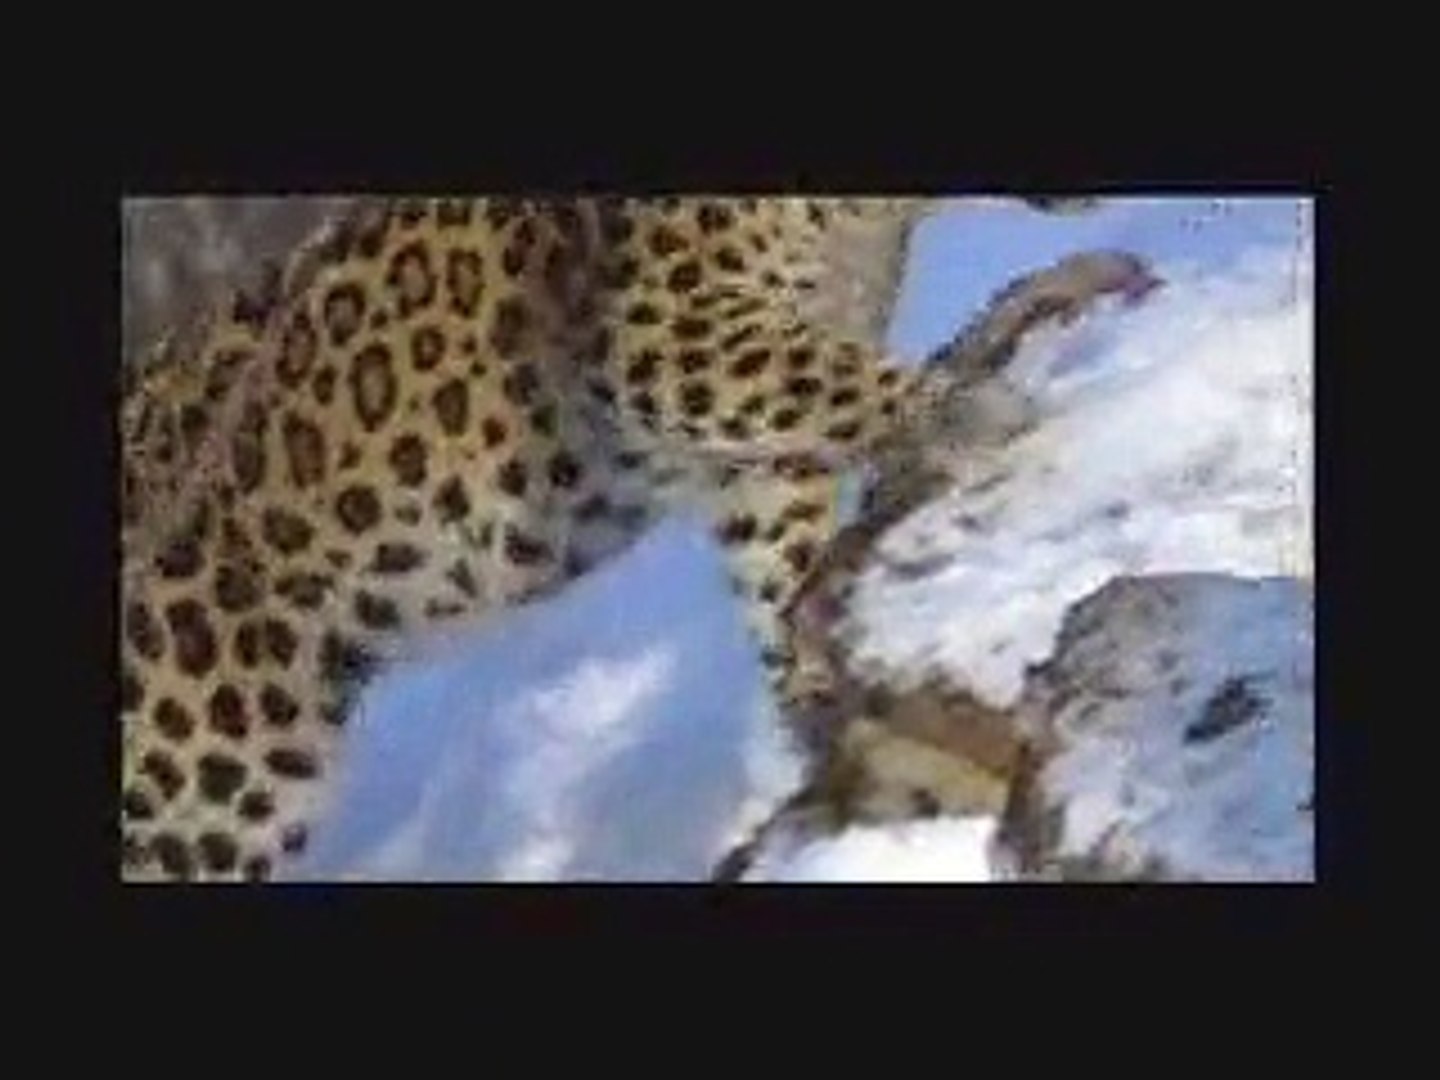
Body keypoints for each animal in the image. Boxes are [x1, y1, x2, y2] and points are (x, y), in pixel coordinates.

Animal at [120, 194, 1088, 882]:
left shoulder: (763, 461)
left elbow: (782, 561)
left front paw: (819, 699)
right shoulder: (662, 330)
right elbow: (839, 379)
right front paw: (969, 407)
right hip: (203, 773)